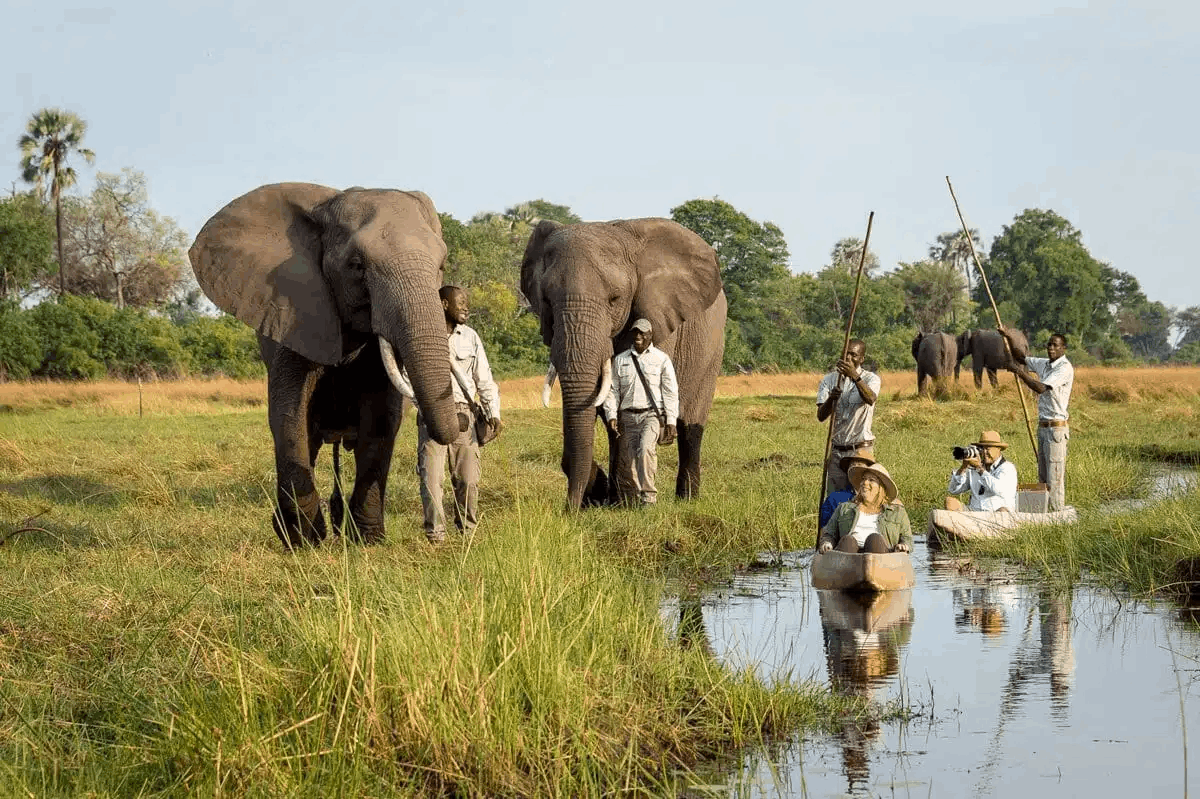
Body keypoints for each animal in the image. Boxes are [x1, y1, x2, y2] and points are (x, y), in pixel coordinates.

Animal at [189, 182, 456, 544]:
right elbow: (289, 414)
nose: (463, 422)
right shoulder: (293, 315)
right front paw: (306, 541)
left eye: (441, 265)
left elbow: (383, 417)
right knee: (309, 441)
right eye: (356, 266)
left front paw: (368, 541)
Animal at [520, 215, 724, 503]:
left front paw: (623, 499)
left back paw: (687, 498)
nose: (570, 508)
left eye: (614, 299)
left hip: (713, 347)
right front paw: (604, 495)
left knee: (691, 425)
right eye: (546, 300)